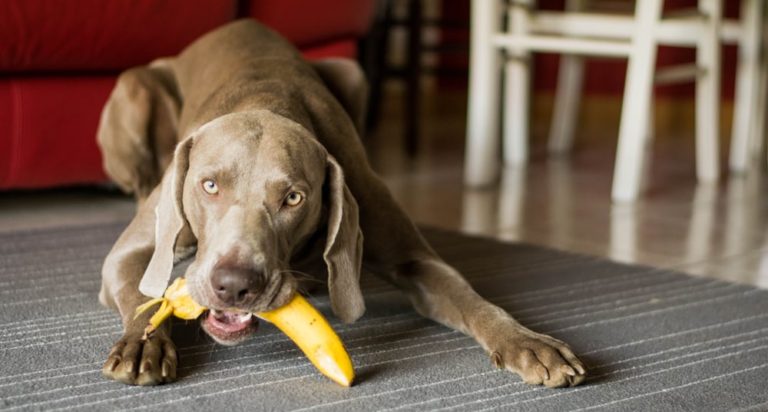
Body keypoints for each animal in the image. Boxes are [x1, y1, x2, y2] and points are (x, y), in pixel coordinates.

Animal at [97, 18, 588, 386]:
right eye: (210, 185)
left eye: (293, 198)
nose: (234, 286)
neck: (266, 100)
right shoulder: (129, 254)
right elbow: (142, 296)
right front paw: (143, 343)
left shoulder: (411, 253)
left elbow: (471, 298)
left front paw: (526, 342)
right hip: (135, 88)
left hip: (353, 71)